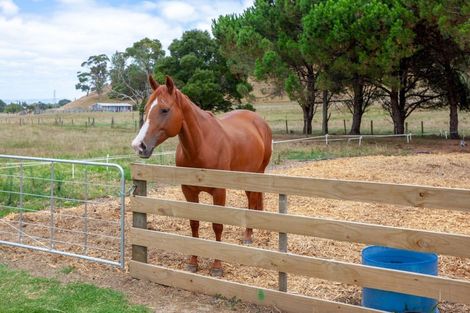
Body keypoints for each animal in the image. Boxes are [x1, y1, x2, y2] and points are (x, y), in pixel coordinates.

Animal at [131, 75, 272, 276]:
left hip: (256, 175)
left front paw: (217, 267)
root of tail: (258, 120)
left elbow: (217, 226)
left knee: (252, 202)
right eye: (146, 109)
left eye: (164, 109)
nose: (139, 145)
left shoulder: (219, 191)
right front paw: (193, 263)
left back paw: (248, 237)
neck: (202, 145)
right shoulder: (189, 191)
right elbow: (194, 224)